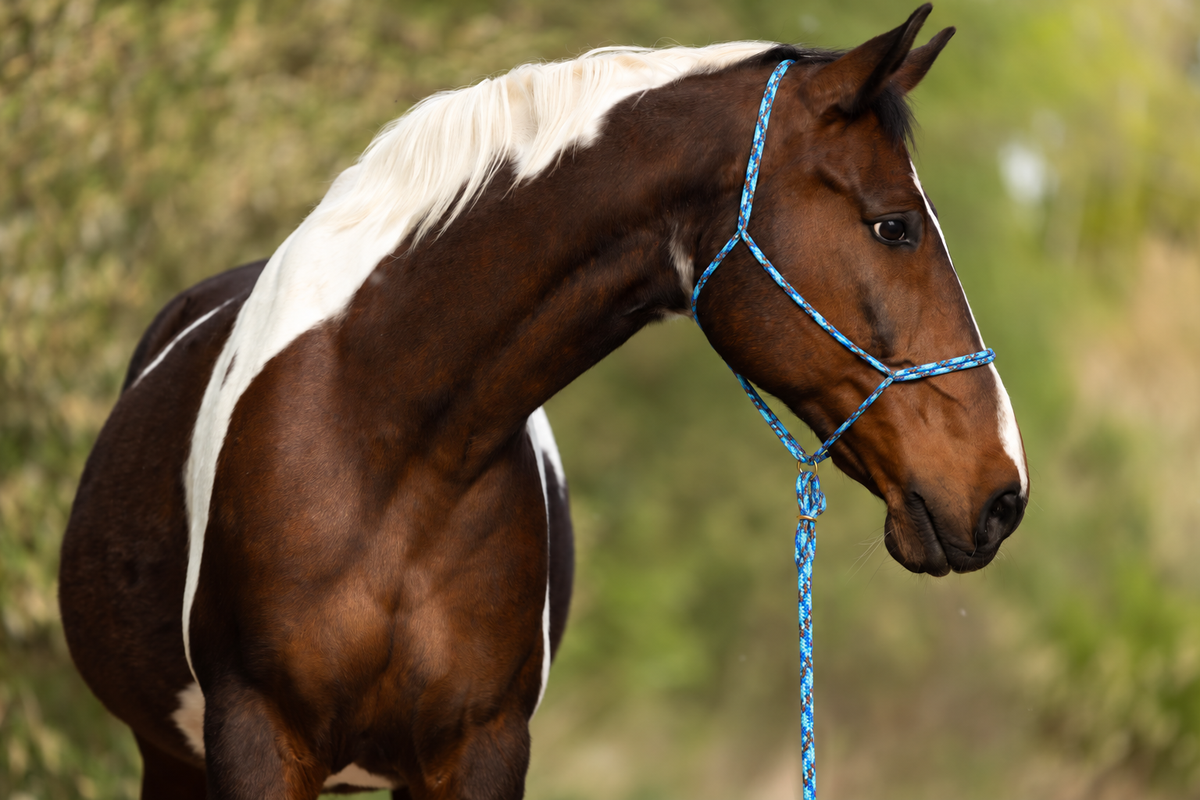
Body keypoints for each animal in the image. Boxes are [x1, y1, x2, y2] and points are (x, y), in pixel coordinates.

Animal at [59, 5, 1028, 798]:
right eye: (893, 225)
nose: (1003, 493)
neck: (385, 446)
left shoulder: (480, 750)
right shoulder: (255, 740)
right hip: (170, 758)